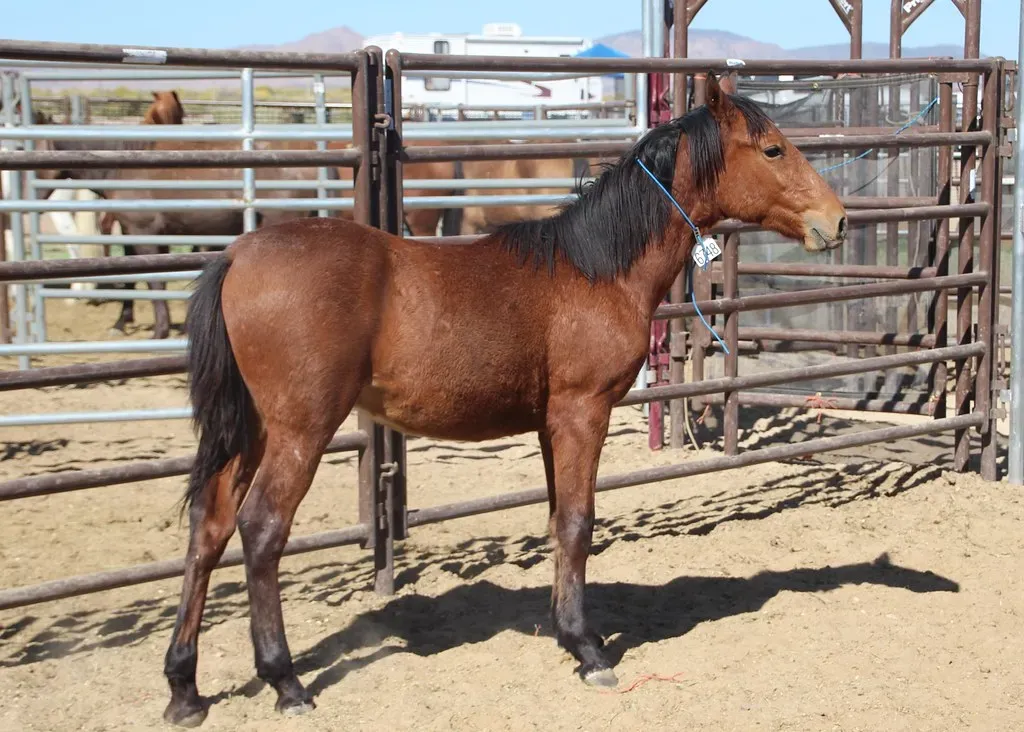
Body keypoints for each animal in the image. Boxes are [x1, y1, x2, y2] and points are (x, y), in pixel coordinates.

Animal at [159, 71, 847, 726]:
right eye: (772, 148)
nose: (836, 220)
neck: (596, 270)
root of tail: (237, 255)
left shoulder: (549, 424)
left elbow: (557, 520)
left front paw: (566, 631)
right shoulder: (581, 412)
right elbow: (577, 523)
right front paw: (588, 650)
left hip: (251, 431)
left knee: (209, 529)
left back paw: (184, 689)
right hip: (300, 431)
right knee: (261, 530)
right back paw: (285, 682)